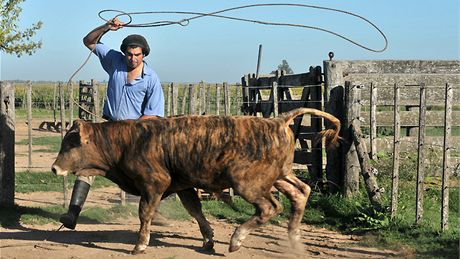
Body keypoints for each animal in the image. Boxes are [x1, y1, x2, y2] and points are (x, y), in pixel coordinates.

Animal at [51, 108, 342, 256]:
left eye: (70, 143)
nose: (54, 168)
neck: (128, 141)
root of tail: (277, 121)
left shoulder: (154, 184)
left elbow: (145, 213)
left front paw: (140, 245)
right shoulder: (184, 186)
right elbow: (196, 212)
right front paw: (208, 240)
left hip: (248, 183)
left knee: (270, 207)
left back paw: (237, 240)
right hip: (281, 175)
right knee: (300, 192)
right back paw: (294, 239)